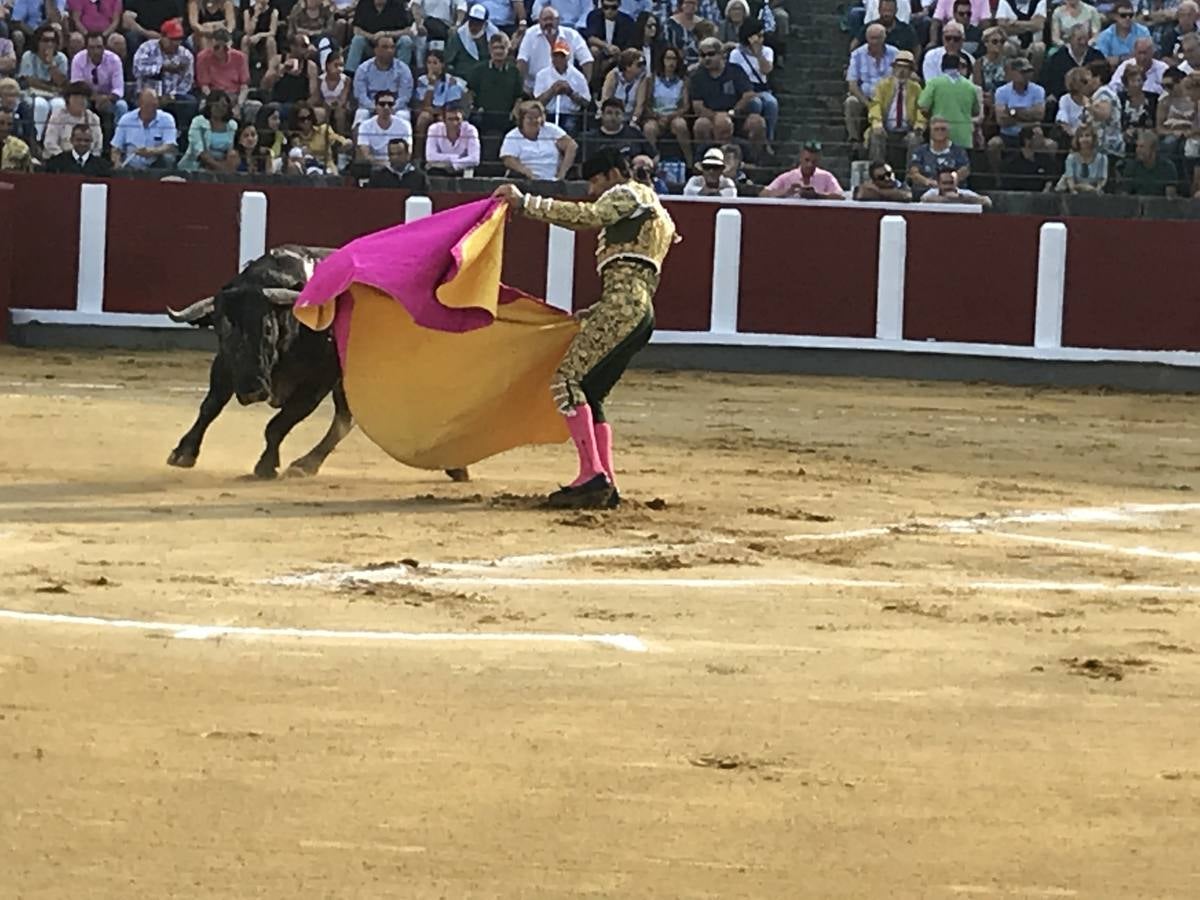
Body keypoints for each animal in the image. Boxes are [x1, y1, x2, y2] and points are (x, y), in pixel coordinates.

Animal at [166, 243, 465, 482]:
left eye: (267, 328)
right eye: (221, 330)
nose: (253, 391)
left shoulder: (316, 384)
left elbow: (277, 424)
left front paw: (266, 467)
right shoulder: (226, 365)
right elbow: (210, 407)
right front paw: (183, 453)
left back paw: (456, 467)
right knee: (346, 419)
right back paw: (307, 464)